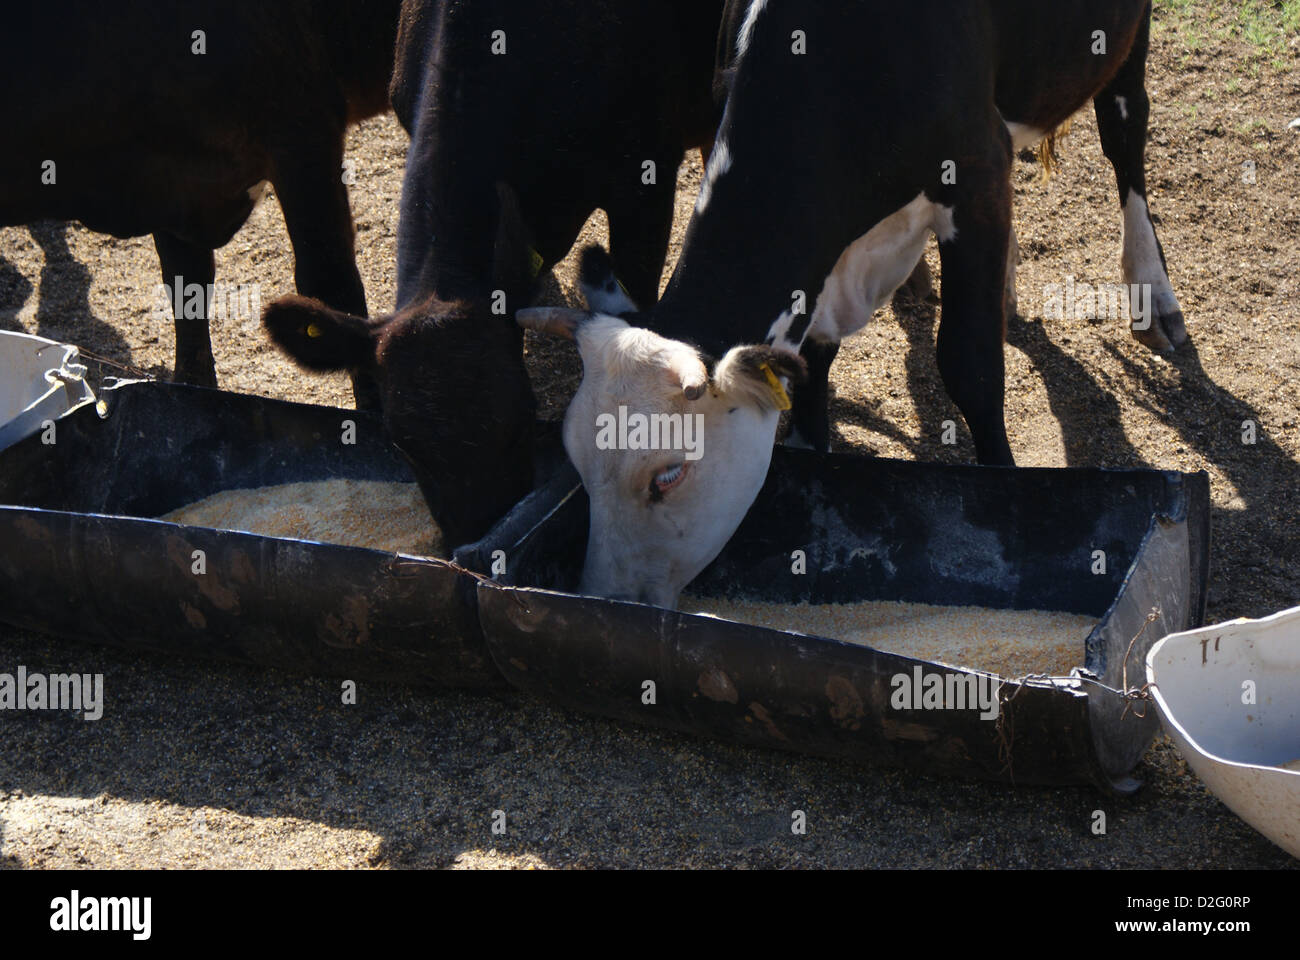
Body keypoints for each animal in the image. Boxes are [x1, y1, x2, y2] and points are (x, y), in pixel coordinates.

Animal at [520, 0, 1190, 606]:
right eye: (576, 462)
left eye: (667, 474)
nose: (605, 598)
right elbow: (809, 365)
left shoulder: (975, 171)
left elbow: (970, 365)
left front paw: (1007, 488)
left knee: (1125, 127)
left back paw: (1154, 297)